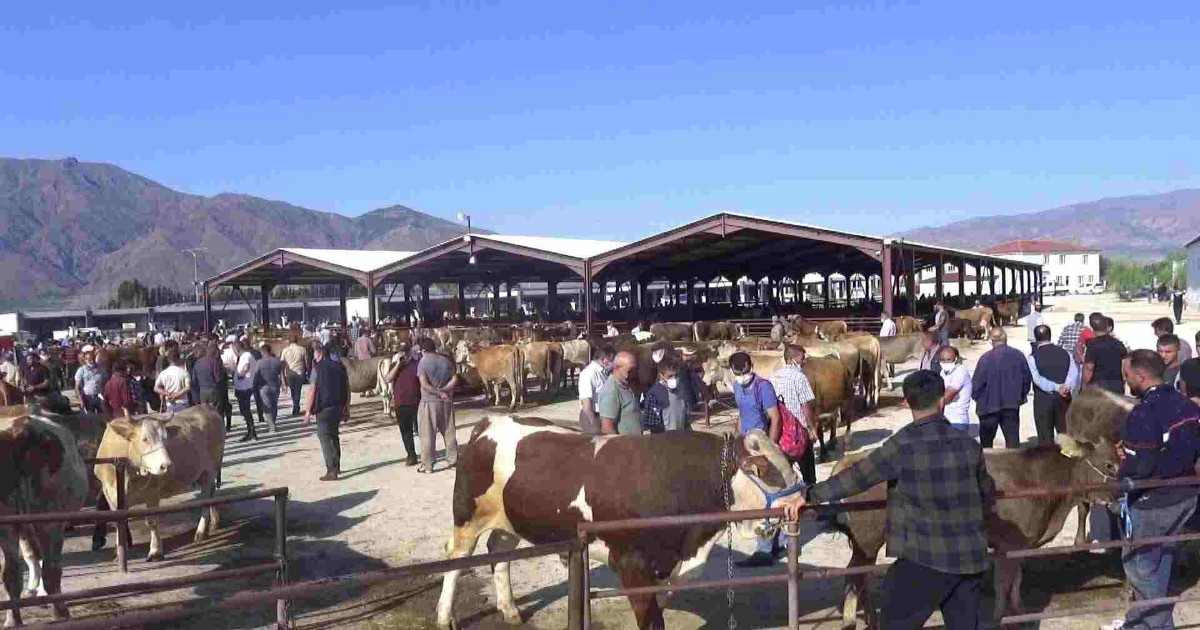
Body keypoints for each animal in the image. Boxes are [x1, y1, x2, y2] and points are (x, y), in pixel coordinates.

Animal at [94, 403, 225, 559]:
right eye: (145, 439)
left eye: (165, 439)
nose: (166, 465)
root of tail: (206, 407)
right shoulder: (110, 494)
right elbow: (119, 522)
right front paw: (120, 551)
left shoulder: (152, 492)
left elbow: (152, 522)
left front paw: (155, 551)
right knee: (211, 493)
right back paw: (215, 521)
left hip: (210, 470)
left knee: (206, 499)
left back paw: (200, 532)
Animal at [434, 415, 796, 624]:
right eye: (763, 469)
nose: (800, 501)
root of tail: (490, 422)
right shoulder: (631, 564)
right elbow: (649, 618)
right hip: (467, 515)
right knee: (457, 557)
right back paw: (444, 615)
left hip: (510, 516)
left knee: (500, 550)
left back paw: (509, 609)